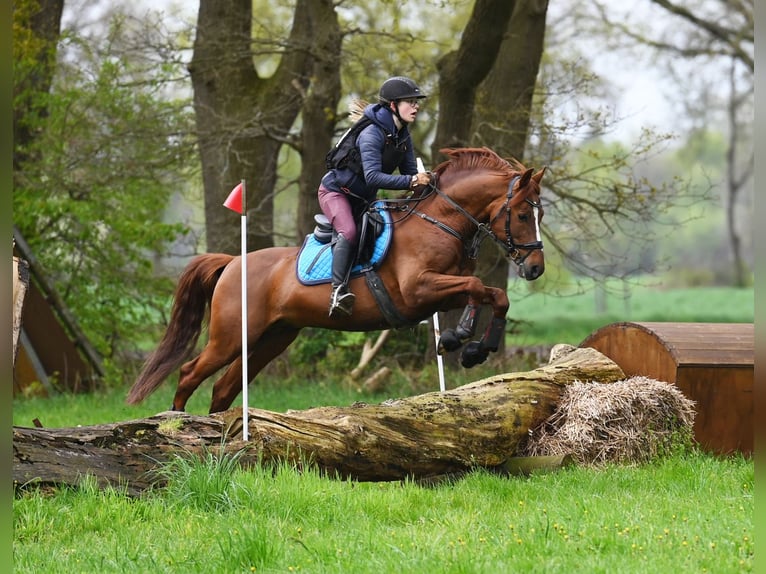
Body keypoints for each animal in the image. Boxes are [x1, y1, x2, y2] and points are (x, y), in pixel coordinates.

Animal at [126, 147, 546, 413]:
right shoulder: (418, 290)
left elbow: (495, 295)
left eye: (540, 214)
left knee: (223, 387)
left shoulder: (439, 294)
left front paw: (476, 348)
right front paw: (458, 338)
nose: (536, 269)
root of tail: (232, 263)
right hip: (232, 337)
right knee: (189, 373)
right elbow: (477, 289)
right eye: (524, 214)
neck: (439, 221)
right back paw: (177, 422)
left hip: (272, 338)